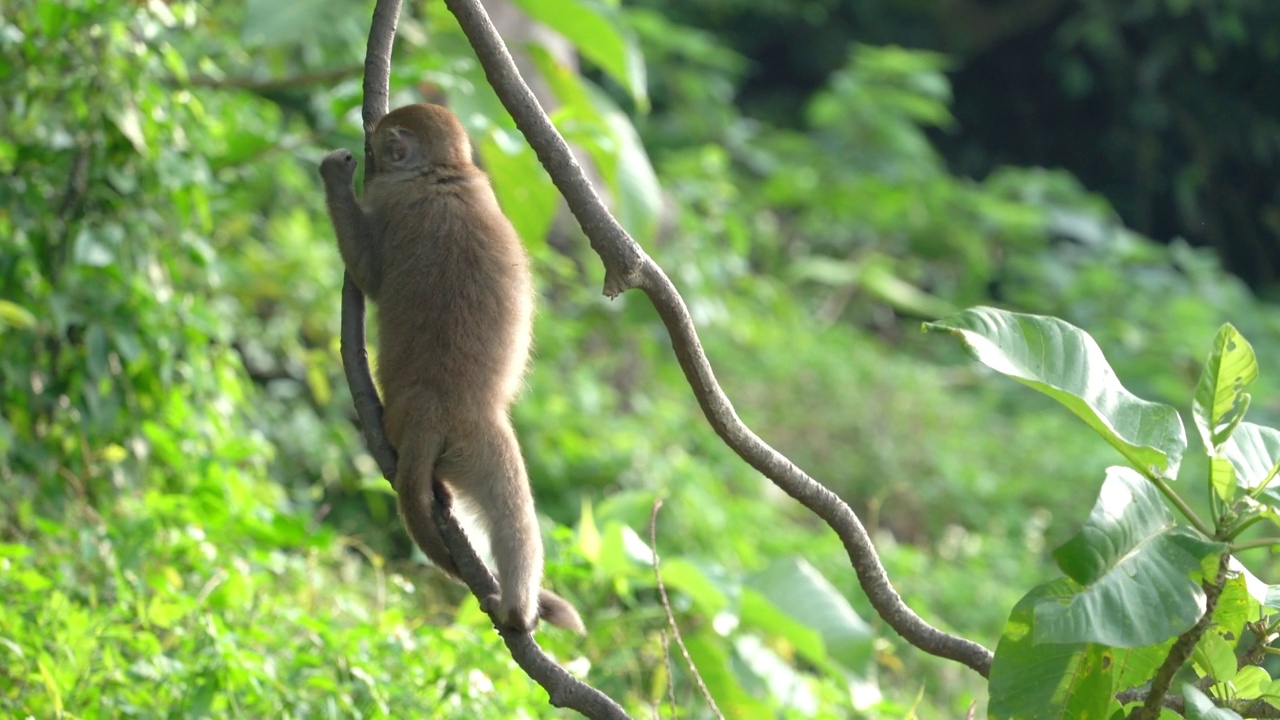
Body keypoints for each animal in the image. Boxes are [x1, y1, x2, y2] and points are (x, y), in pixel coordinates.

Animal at [318, 103, 586, 630]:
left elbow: (368, 272)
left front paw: (337, 178)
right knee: (511, 515)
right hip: (475, 444)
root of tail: (430, 411)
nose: (371, 141)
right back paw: (517, 606)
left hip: (465, 435)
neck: (444, 172)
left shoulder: (390, 199)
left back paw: (515, 609)